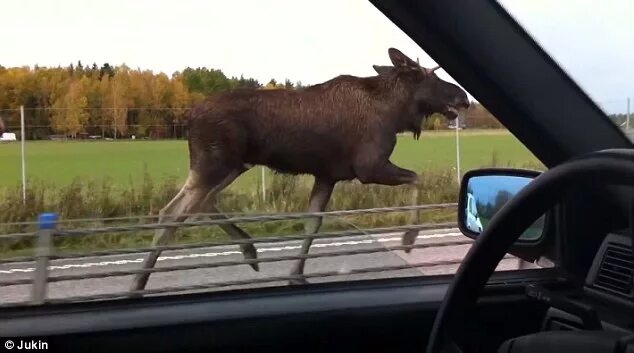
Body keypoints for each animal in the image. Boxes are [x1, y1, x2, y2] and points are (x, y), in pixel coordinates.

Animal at [131, 48, 470, 290]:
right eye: (429, 76)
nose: (463, 96)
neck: (396, 112)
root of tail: (189, 117)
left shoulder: (328, 175)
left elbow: (312, 223)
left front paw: (296, 273)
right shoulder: (368, 167)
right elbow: (417, 179)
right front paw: (409, 238)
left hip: (233, 165)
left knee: (198, 204)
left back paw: (248, 249)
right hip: (216, 164)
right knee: (174, 212)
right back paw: (138, 282)